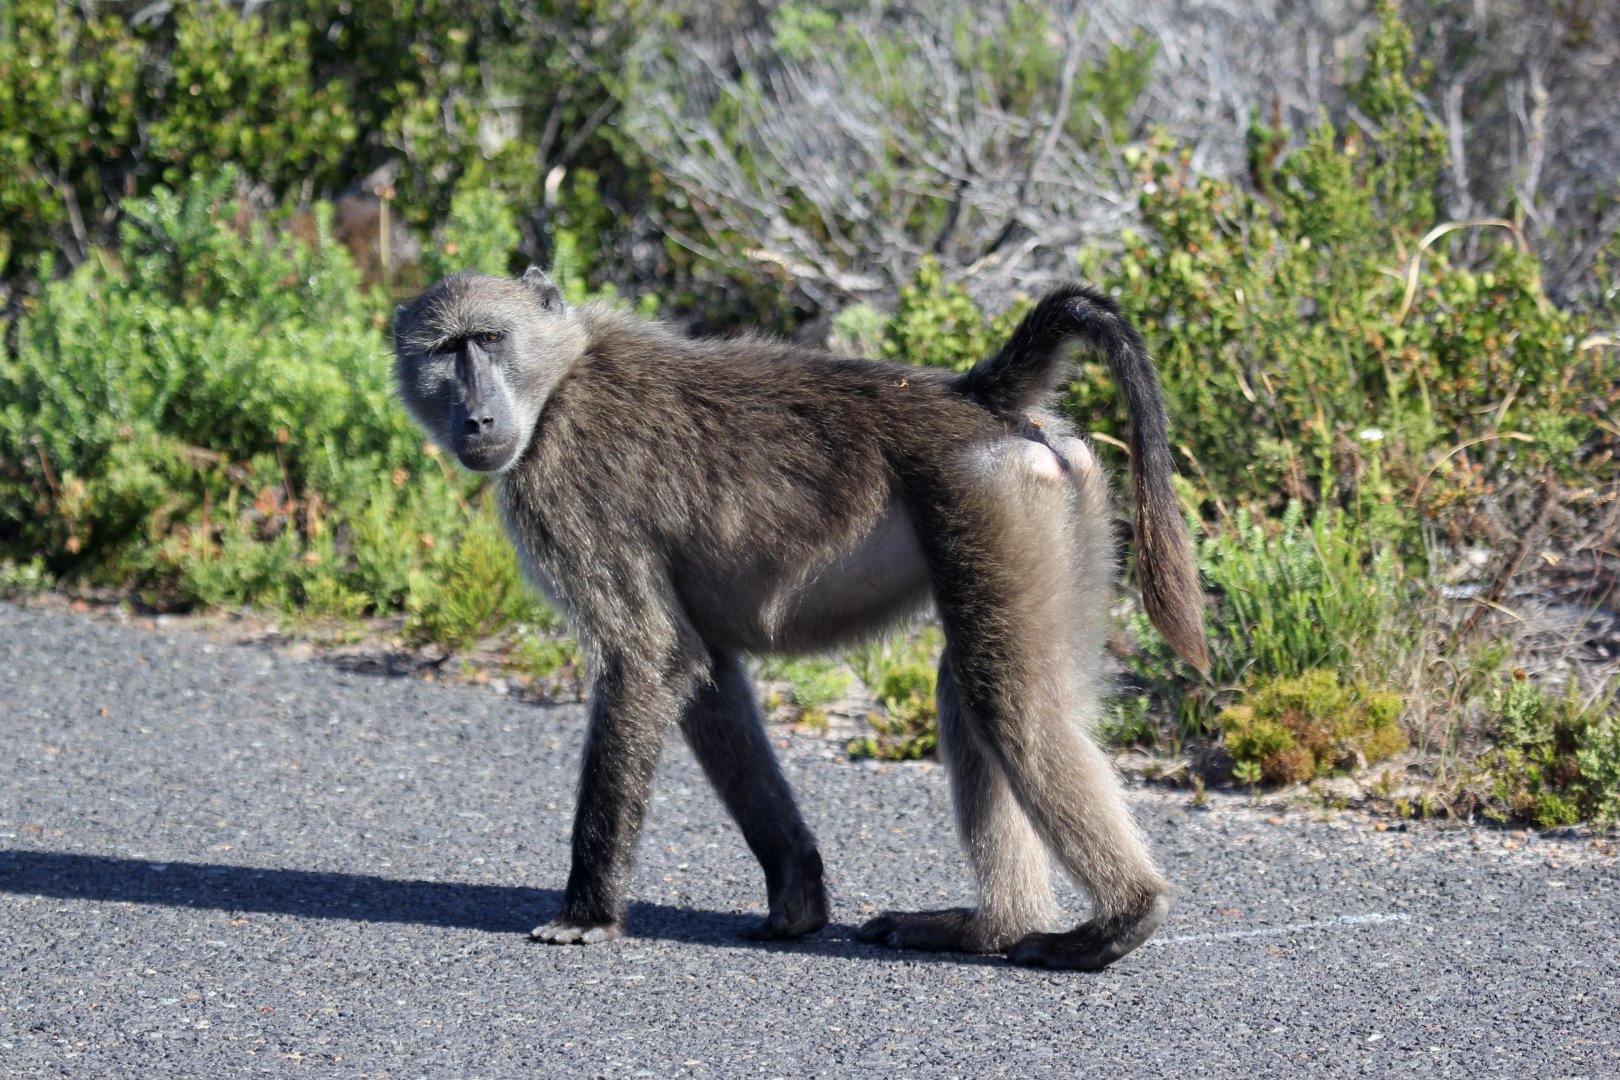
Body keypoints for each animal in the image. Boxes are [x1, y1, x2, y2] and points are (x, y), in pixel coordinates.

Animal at [391, 267, 1208, 970]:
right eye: (444, 351)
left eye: (490, 339)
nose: (478, 419)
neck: (560, 381)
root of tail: (973, 394)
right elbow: (703, 671)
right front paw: (797, 899)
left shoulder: (567, 488)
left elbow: (646, 653)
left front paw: (587, 915)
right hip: (1063, 498)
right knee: (978, 692)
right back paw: (990, 928)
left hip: (986, 495)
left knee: (1005, 700)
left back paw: (1120, 922)